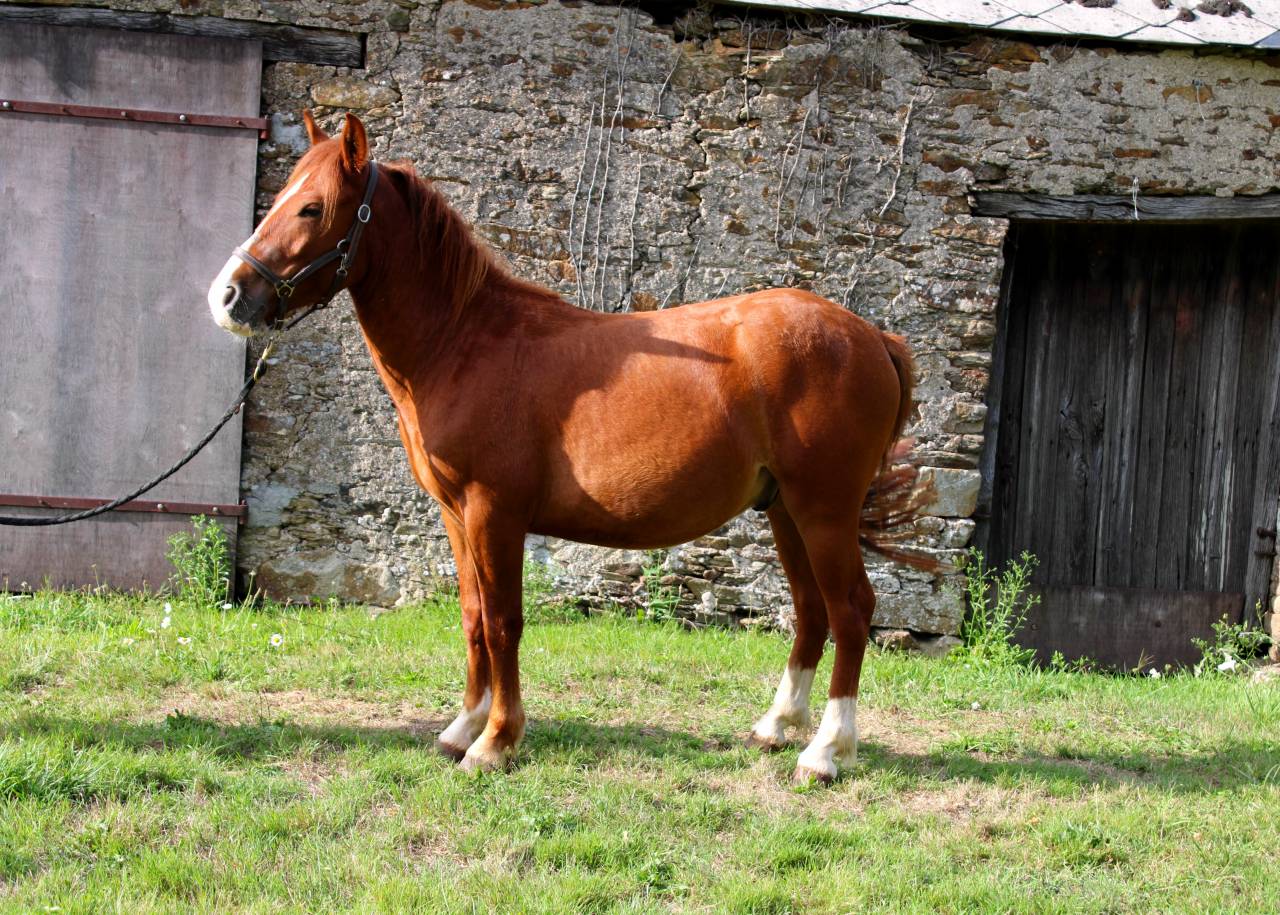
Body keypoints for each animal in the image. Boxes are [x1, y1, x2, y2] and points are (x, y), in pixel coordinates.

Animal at [207, 112, 936, 784]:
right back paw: (778, 727)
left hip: (824, 510)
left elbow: (504, 622)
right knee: (812, 612)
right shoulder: (455, 515)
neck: (464, 342)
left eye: (312, 207)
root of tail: (872, 337)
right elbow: (473, 618)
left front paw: (496, 741)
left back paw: (826, 752)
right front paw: (461, 727)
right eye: (281, 195)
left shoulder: (494, 512)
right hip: (785, 509)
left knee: (851, 610)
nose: (228, 295)